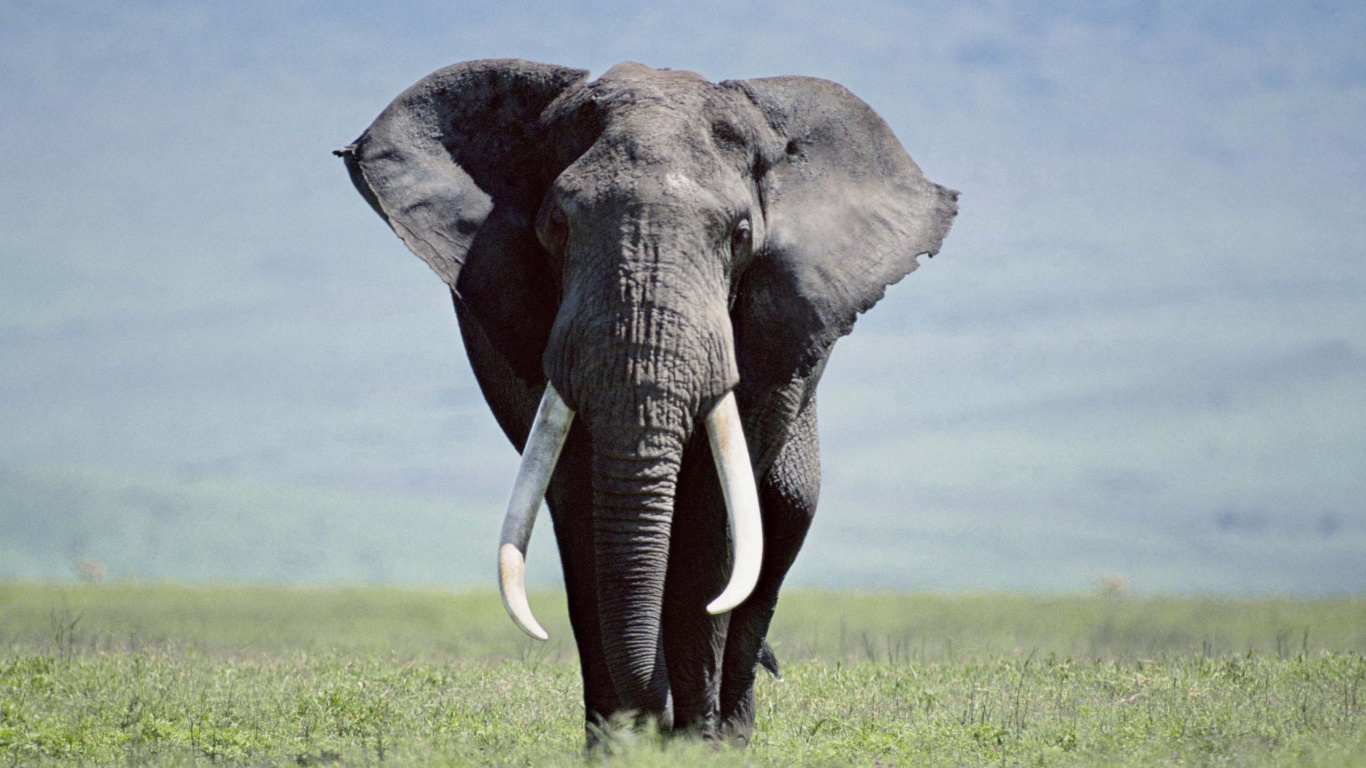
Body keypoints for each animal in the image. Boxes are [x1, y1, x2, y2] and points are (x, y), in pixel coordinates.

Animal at [336, 58, 957, 744]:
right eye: (556, 227)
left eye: (740, 235)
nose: (655, 722)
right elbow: (578, 500)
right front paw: (619, 742)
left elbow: (714, 512)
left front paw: (695, 744)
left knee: (786, 516)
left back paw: (732, 732)